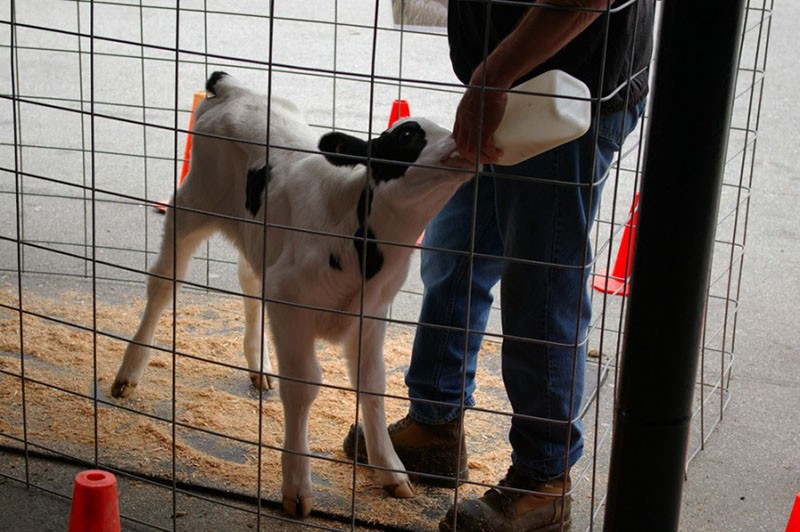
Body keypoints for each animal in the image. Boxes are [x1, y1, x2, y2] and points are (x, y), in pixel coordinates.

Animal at [112, 72, 476, 516]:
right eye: (408, 134)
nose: (465, 141)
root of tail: (232, 86)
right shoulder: (291, 304)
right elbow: (304, 386)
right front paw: (297, 486)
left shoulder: (371, 313)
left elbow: (372, 384)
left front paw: (391, 470)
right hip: (191, 205)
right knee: (164, 284)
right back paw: (128, 373)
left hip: (258, 235)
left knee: (250, 282)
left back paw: (259, 366)